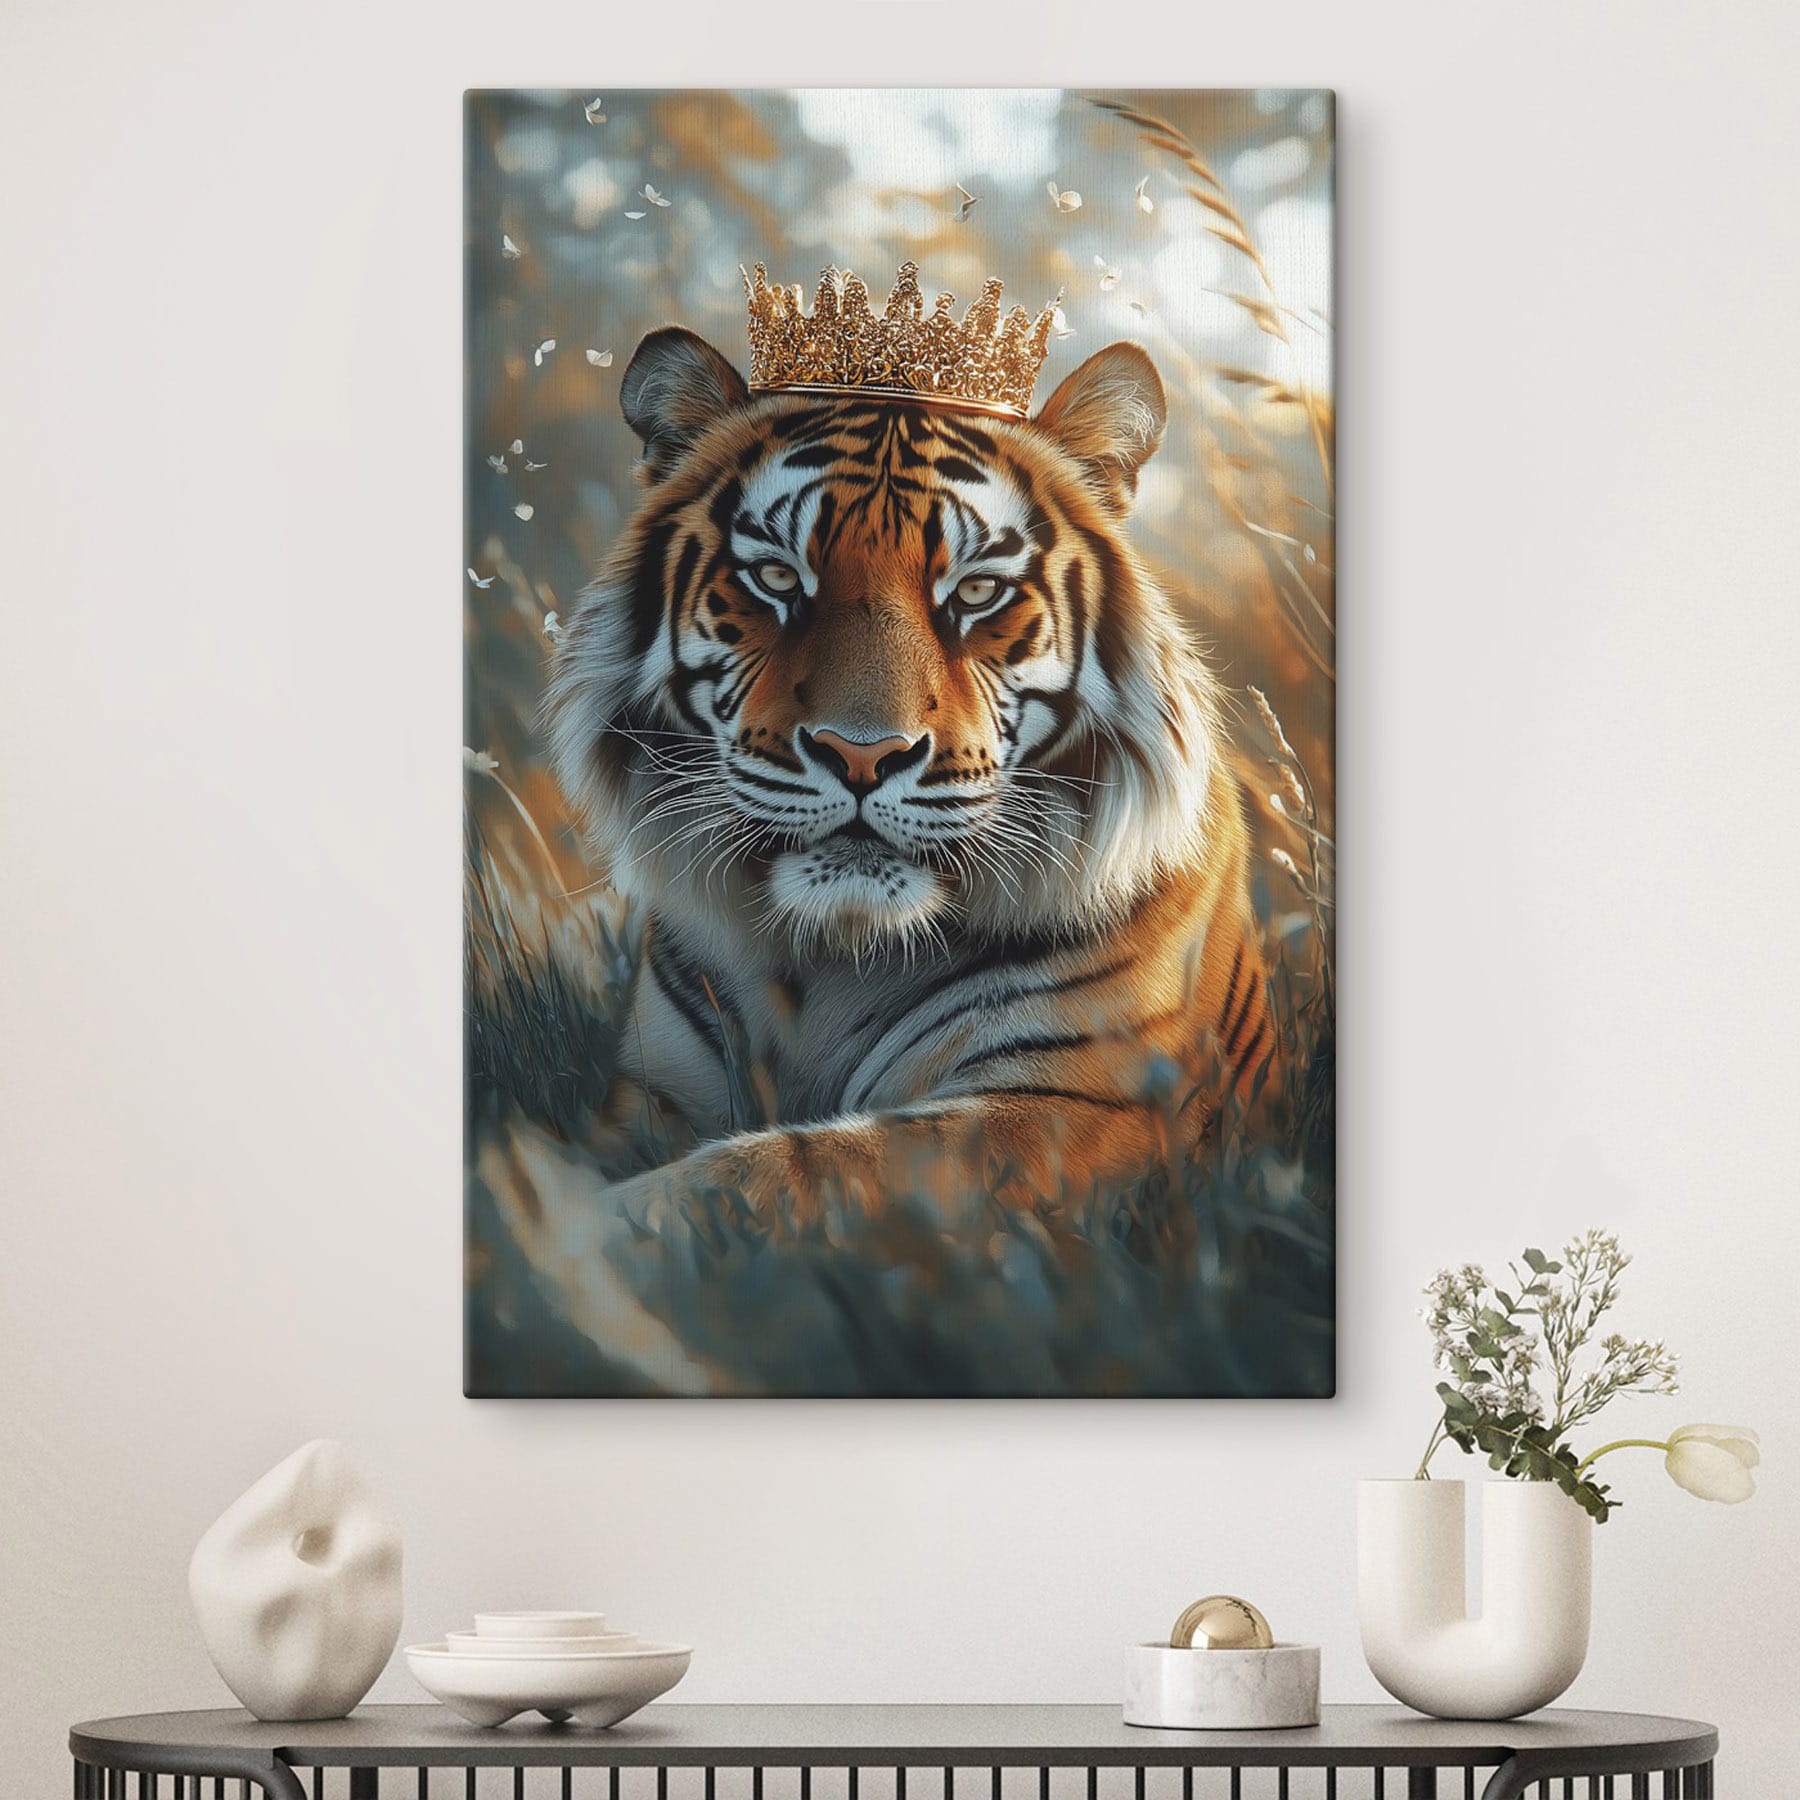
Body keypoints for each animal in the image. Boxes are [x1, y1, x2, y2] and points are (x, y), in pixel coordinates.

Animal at [544, 323, 1273, 1233]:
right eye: (777, 578)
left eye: (978, 590)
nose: (862, 755)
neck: (835, 956)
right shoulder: (654, 1088)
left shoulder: (1069, 1109)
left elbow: (789, 1168)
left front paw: (567, 1230)